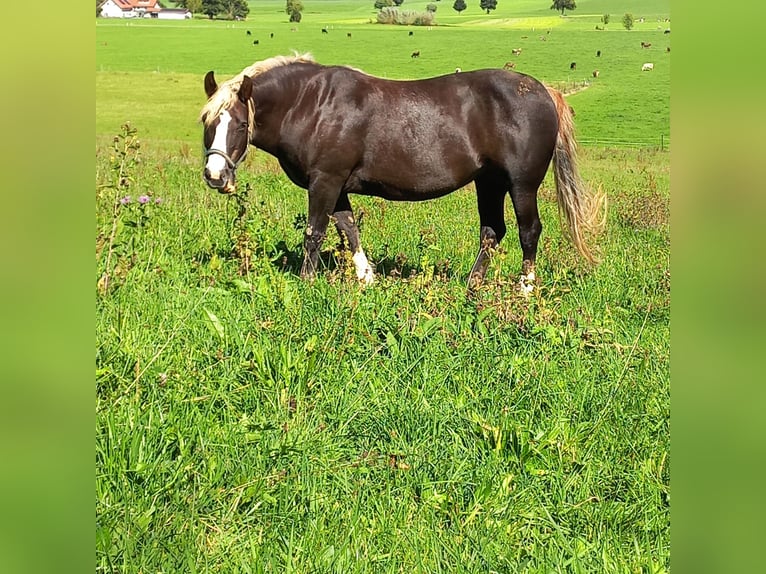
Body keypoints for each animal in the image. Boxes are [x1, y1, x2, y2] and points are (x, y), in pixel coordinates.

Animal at [199, 54, 604, 290]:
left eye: (239, 124)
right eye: (207, 121)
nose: (215, 176)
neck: (312, 104)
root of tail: (546, 91)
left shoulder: (325, 179)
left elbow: (315, 232)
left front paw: (306, 282)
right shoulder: (337, 183)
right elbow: (348, 228)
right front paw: (366, 278)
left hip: (521, 184)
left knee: (528, 230)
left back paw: (526, 288)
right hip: (488, 182)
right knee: (492, 231)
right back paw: (471, 286)